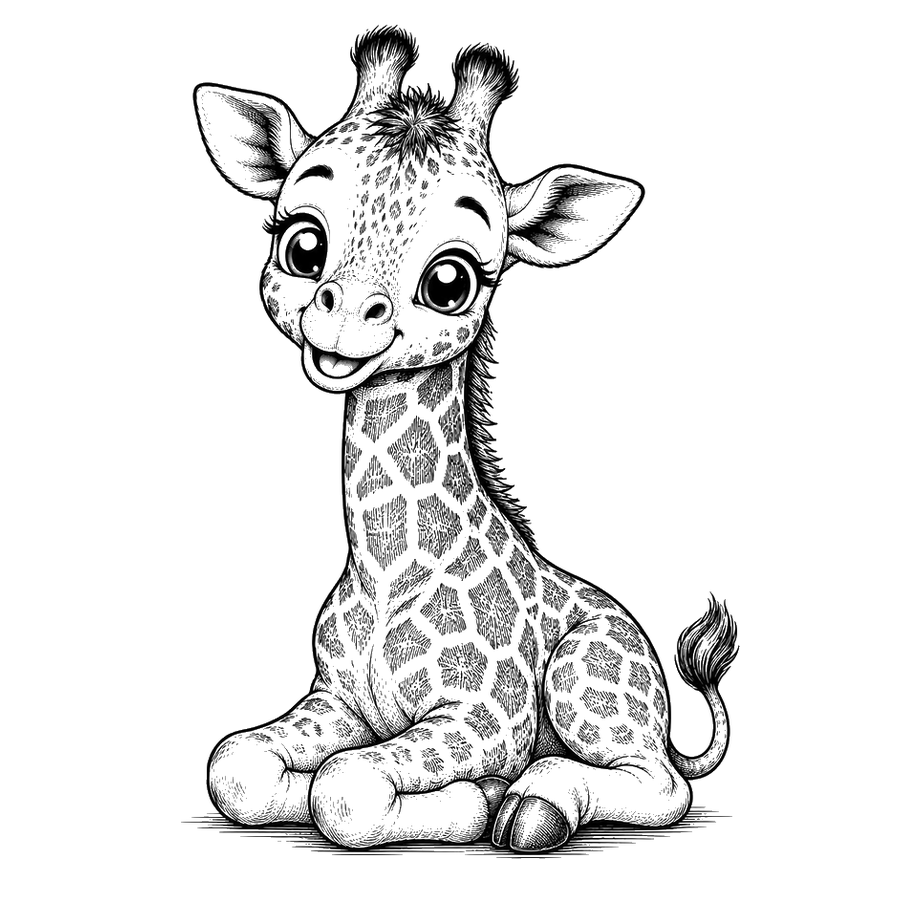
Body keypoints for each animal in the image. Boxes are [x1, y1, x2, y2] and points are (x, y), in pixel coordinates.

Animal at [193, 27, 738, 853]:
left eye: (450, 281)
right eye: (302, 244)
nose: (343, 322)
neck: (384, 573)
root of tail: (668, 715)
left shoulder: (486, 718)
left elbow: (343, 789)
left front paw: (476, 801)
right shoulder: (337, 702)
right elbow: (236, 767)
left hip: (582, 685)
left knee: (663, 785)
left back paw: (534, 806)